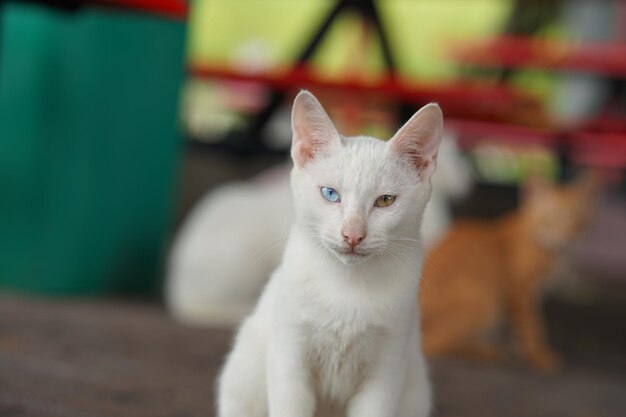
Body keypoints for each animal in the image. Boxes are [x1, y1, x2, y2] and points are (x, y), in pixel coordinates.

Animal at [217, 91, 442, 416]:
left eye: (386, 200)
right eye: (330, 194)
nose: (353, 235)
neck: (347, 285)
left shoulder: (387, 368)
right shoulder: (289, 355)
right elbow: (290, 406)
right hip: (244, 372)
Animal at [416, 172, 596, 370]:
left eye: (578, 220)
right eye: (552, 218)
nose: (566, 237)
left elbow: (519, 326)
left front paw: (520, 348)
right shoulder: (519, 289)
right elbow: (531, 325)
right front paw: (538, 355)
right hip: (485, 304)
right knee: (434, 344)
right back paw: (488, 350)